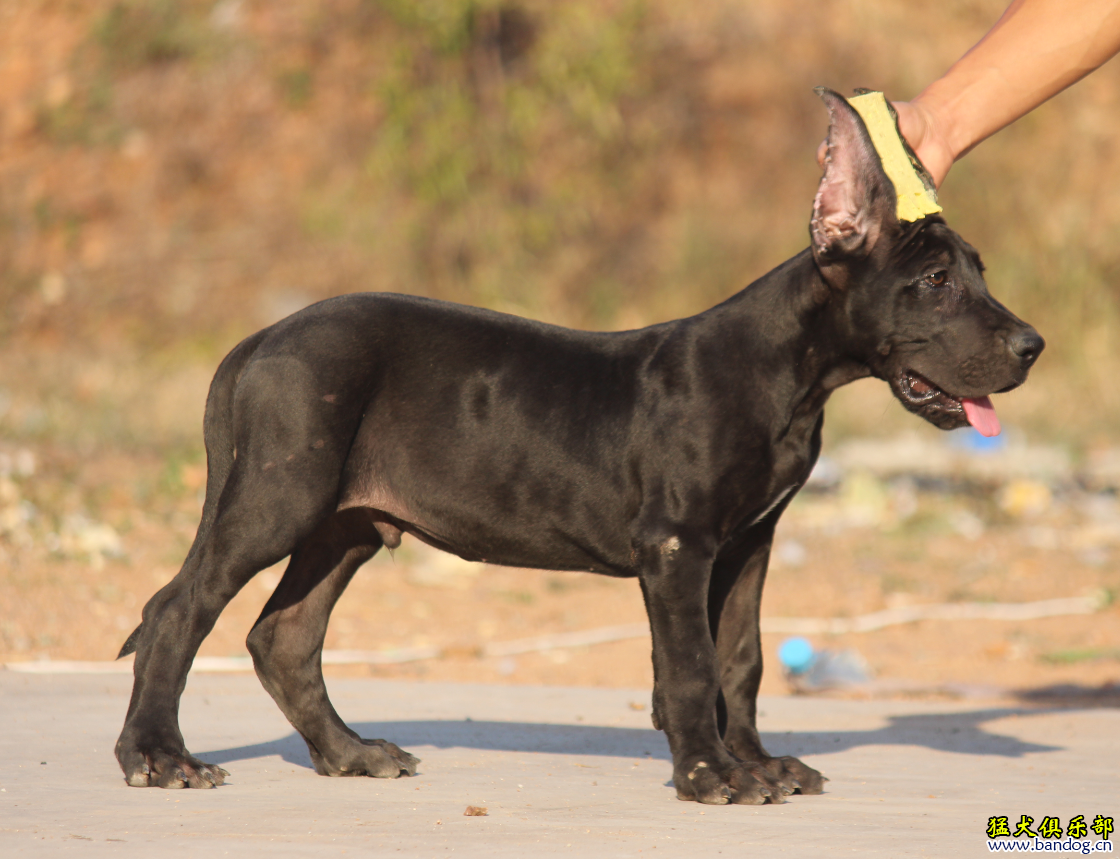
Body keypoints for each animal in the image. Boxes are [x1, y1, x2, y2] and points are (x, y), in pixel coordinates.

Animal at [113, 90, 1039, 801]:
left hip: (346, 523)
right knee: (178, 608)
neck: (790, 372)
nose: (1033, 345)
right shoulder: (676, 544)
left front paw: (756, 761)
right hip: (280, 494)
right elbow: (691, 662)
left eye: (980, 273)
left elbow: (740, 659)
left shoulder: (748, 542)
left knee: (284, 635)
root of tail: (263, 337)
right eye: (934, 282)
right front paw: (710, 775)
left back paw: (350, 753)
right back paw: (158, 755)